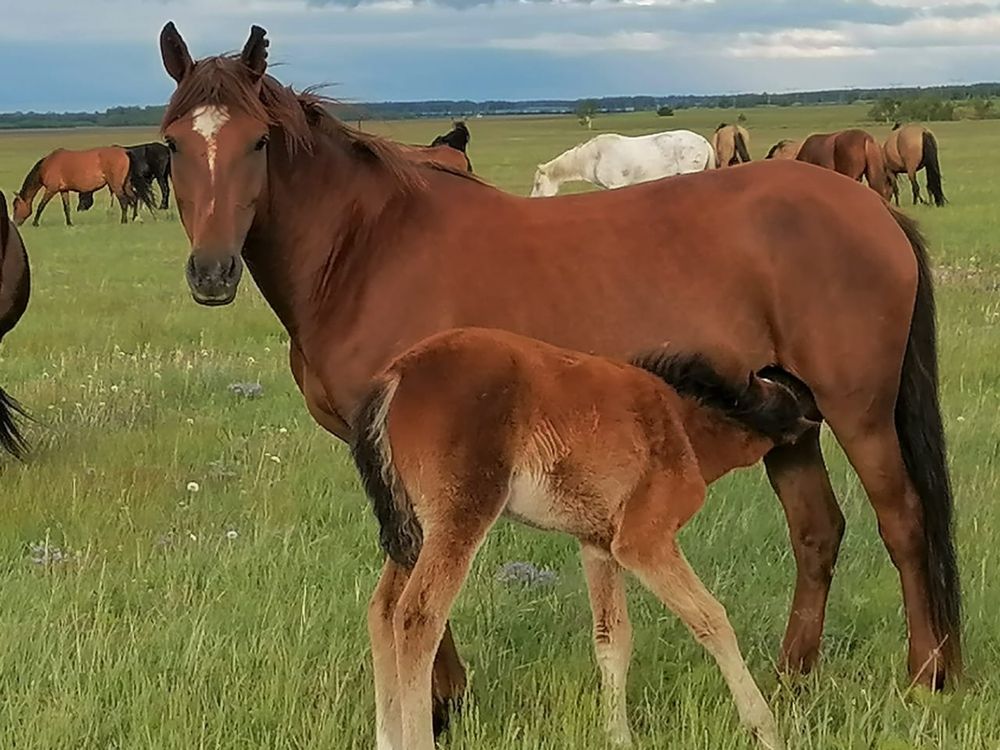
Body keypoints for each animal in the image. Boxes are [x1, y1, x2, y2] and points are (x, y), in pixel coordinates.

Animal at [11, 147, 154, 226]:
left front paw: (35, 223)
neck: (47, 165)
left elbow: (41, 206)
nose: (15, 223)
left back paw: (124, 221)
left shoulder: (51, 189)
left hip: (116, 185)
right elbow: (66, 208)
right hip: (126, 184)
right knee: (134, 198)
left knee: (124, 201)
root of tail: (125, 152)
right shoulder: (63, 190)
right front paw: (69, 223)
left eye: (16, 206)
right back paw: (136, 218)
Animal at [354, 330, 820, 750]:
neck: (684, 424)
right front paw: (766, 730)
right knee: (417, 616)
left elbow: (613, 637)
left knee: (383, 610)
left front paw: (618, 738)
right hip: (459, 517)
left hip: (415, 530)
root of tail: (398, 374)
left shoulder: (598, 543)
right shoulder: (644, 541)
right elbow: (711, 619)